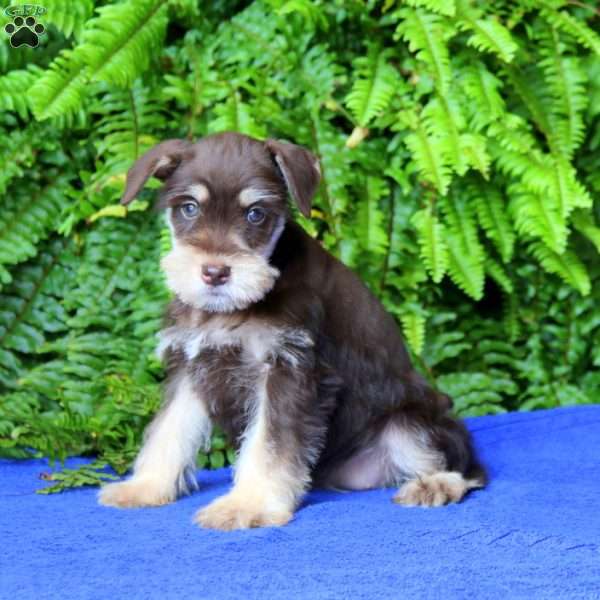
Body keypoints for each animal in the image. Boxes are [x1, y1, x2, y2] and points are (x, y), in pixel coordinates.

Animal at [97, 131, 482, 528]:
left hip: (407, 422)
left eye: (255, 213)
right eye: (189, 208)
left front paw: (247, 505)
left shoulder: (289, 370)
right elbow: (168, 430)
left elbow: (269, 442)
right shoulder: (191, 366)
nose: (215, 273)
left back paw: (435, 485)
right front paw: (144, 487)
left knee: (465, 466)